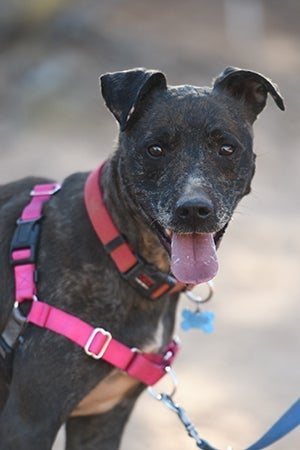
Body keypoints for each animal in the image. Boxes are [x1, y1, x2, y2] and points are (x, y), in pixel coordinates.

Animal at [0, 66, 284, 446]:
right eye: (155, 149)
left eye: (226, 148)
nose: (194, 210)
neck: (125, 258)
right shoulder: (28, 421)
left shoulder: (103, 419)